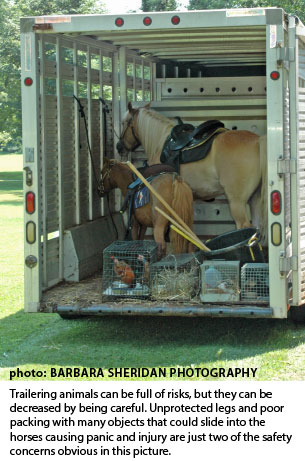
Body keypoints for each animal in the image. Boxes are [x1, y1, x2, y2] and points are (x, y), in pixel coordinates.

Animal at [116, 101, 266, 244]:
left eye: (124, 122)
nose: (119, 147)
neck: (160, 142)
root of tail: (257, 141)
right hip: (254, 199)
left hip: (237, 202)